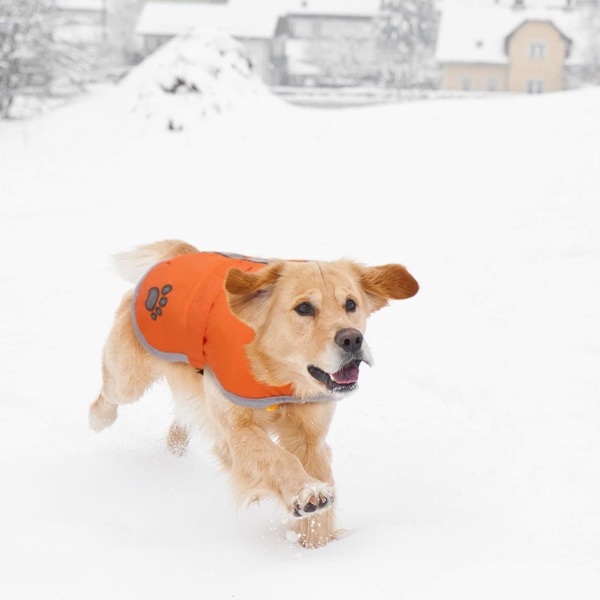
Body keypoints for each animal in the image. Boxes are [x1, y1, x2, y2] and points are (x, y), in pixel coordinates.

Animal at [90, 240, 418, 548]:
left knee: (184, 414)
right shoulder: (236, 433)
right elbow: (279, 458)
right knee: (108, 396)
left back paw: (176, 447)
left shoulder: (310, 435)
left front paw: (316, 546)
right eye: (304, 308)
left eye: (350, 304)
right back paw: (98, 419)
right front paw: (307, 492)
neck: (279, 378)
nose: (352, 339)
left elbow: (315, 479)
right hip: (128, 378)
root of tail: (184, 253)